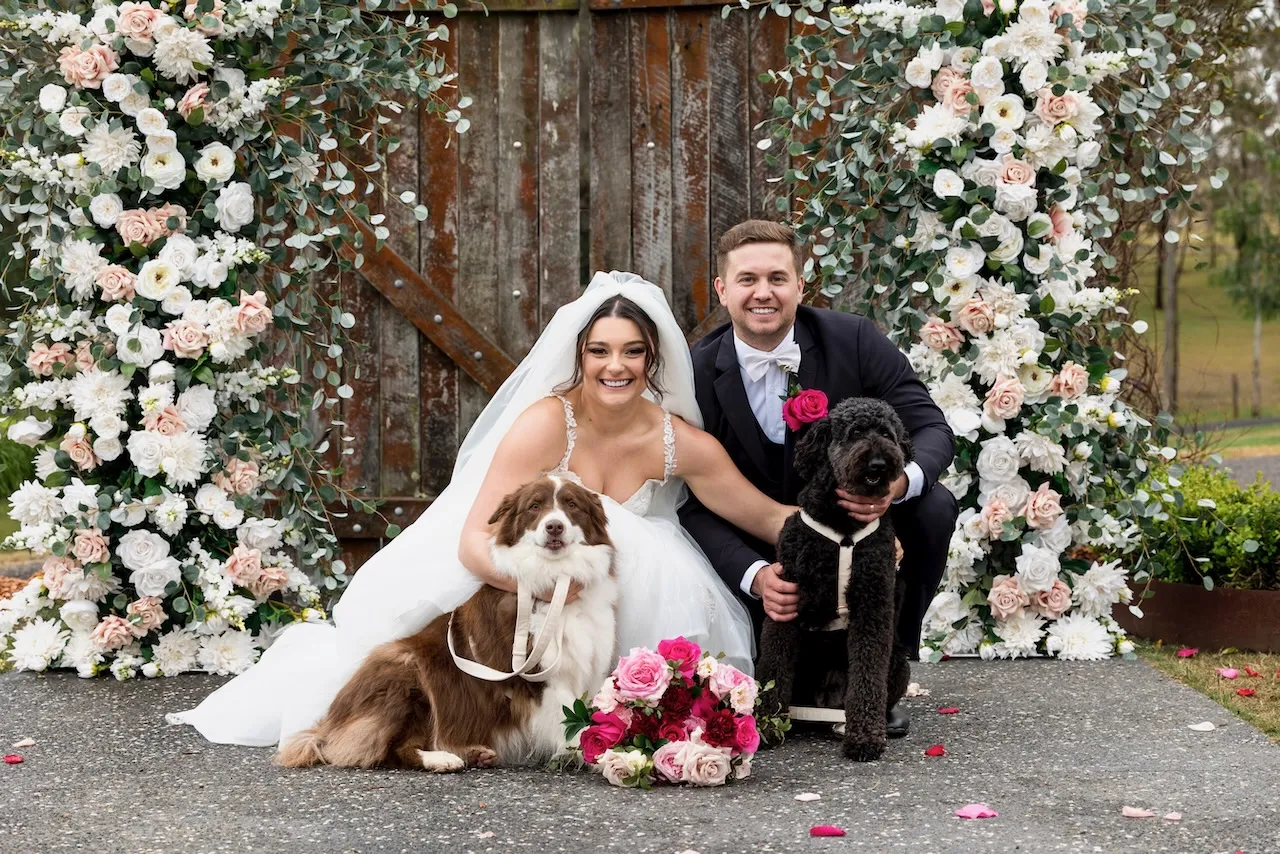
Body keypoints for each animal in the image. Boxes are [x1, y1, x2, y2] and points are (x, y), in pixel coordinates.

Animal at [752, 396, 916, 763]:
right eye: (854, 432)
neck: (844, 530)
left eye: (887, 433)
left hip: (898, 662)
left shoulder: (873, 602)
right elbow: (774, 666)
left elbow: (868, 674)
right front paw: (767, 724)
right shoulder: (786, 599)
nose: (878, 463)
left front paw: (865, 737)